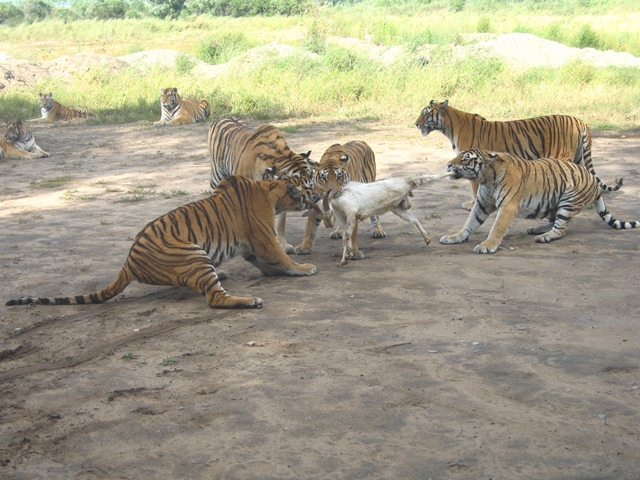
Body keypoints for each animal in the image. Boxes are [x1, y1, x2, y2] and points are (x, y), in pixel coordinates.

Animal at [6, 176, 320, 312]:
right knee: (214, 298)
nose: (316, 197)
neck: (270, 191)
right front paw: (305, 268)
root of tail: (128, 261)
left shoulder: (252, 248)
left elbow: (271, 263)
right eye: (306, 187)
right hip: (193, 254)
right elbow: (283, 256)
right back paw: (249, 301)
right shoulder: (264, 238)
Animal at [209, 116, 316, 253]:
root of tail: (223, 117)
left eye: (312, 176)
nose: (316, 196)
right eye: (298, 184)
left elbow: (280, 223)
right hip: (216, 178)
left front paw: (282, 244)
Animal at [316, 172, 456, 264]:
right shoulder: (342, 217)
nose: (328, 225)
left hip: (414, 183)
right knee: (414, 220)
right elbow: (346, 235)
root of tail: (406, 182)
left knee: (428, 177)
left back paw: (453, 171)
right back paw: (427, 239)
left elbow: (346, 237)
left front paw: (344, 259)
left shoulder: (351, 213)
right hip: (397, 208)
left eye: (326, 212)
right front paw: (349, 254)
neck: (337, 200)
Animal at [416, 99, 620, 208]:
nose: (416, 124)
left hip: (563, 157)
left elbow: (474, 187)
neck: (449, 126)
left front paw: (471, 205)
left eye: (426, 114)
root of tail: (580, 121)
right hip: (577, 158)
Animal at [440, 149, 640, 255]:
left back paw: (545, 236)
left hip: (568, 200)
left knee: (561, 228)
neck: (486, 178)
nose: (448, 165)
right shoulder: (481, 204)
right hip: (552, 202)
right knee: (554, 221)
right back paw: (537, 229)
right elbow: (469, 223)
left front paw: (487, 245)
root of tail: (595, 183)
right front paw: (455, 237)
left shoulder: (508, 206)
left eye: (465, 159)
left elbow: (497, 228)